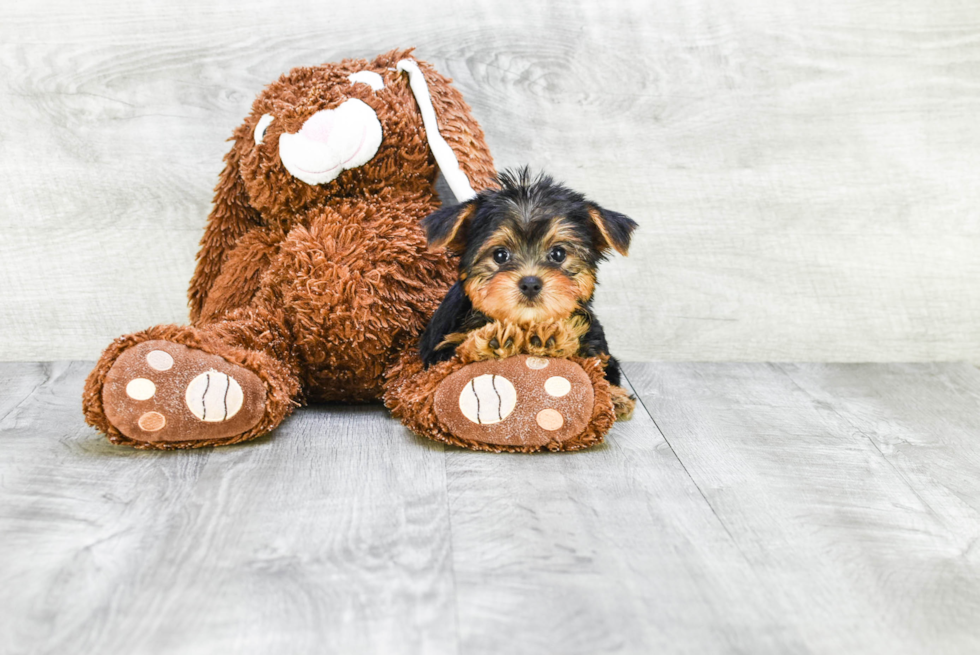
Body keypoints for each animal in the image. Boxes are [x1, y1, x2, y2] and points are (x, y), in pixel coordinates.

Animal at [418, 168, 640, 420]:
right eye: (500, 255)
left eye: (558, 254)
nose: (531, 283)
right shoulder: (438, 351)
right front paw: (491, 341)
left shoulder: (594, 342)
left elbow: (599, 366)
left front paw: (613, 395)